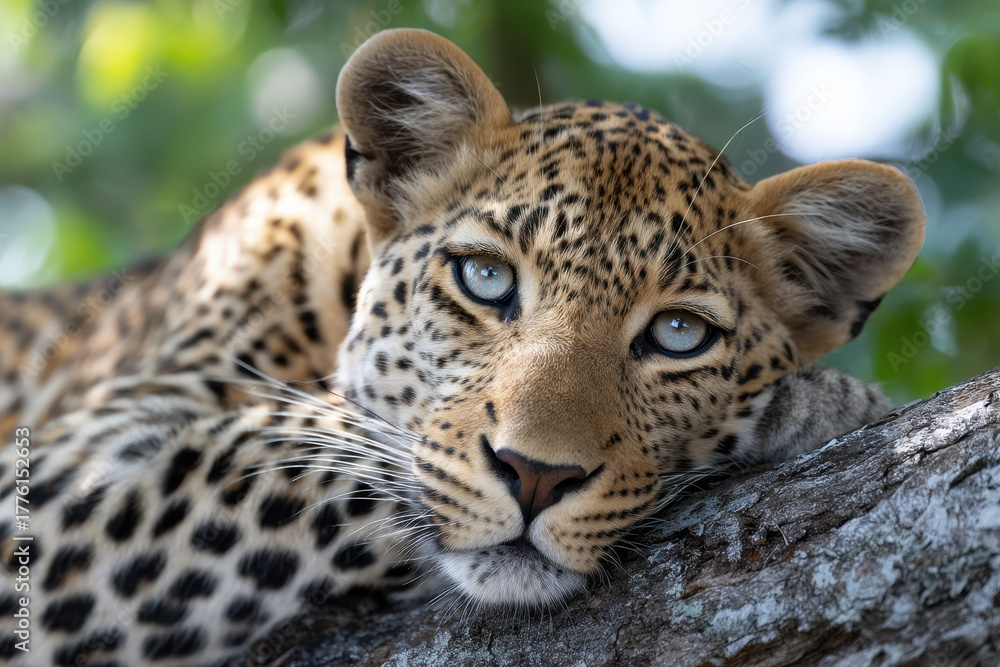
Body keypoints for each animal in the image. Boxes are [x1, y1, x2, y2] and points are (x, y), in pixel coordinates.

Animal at [0, 28, 925, 666]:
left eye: (677, 333)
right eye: (485, 278)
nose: (537, 475)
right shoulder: (52, 482)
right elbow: (317, 448)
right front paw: (812, 405)